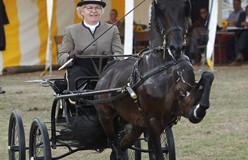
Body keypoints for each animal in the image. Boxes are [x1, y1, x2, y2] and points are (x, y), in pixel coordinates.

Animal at [94, 0, 213, 159]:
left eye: (185, 7)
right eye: (161, 9)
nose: (176, 47)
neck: (166, 65)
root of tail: (108, 70)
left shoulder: (182, 106)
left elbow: (207, 76)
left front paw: (199, 110)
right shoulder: (153, 122)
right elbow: (158, 154)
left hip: (135, 123)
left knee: (122, 145)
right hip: (106, 118)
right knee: (116, 147)